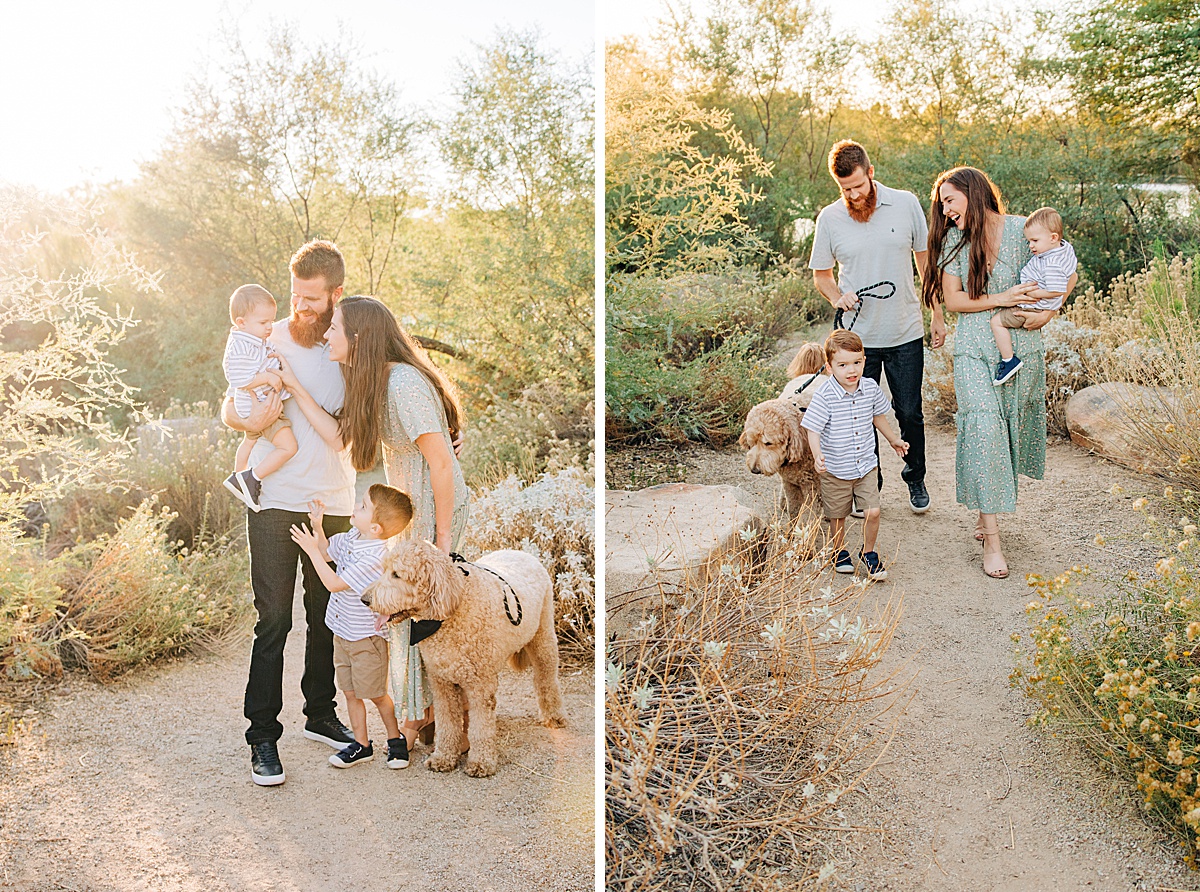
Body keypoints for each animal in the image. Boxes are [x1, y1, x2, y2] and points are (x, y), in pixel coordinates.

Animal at [360, 540, 566, 777]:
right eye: (384, 570)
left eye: (397, 574)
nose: (364, 599)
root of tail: (521, 553)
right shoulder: (441, 682)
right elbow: (447, 724)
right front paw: (443, 758)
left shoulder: (480, 685)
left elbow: (480, 728)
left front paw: (481, 763)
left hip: (543, 637)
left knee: (546, 679)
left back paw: (554, 716)